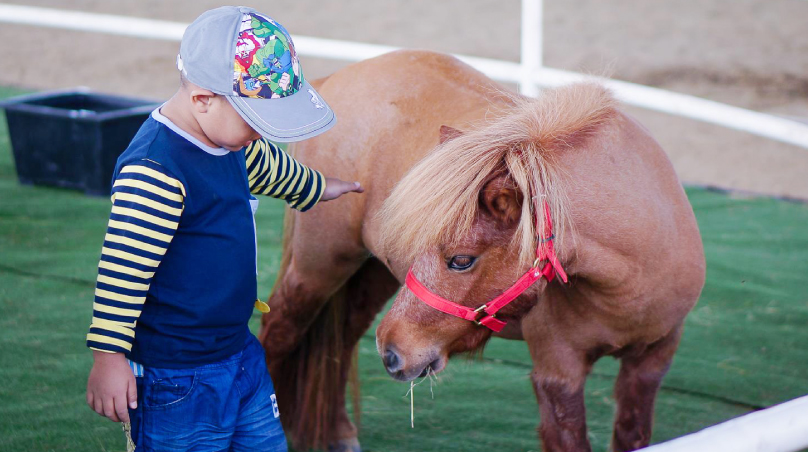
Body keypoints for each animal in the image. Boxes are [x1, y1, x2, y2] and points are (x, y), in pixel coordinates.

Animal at [258, 49, 700, 452]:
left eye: (461, 260)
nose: (392, 353)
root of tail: (336, 77)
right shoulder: (557, 373)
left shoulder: (652, 362)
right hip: (320, 263)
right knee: (280, 328)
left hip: (372, 271)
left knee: (342, 337)